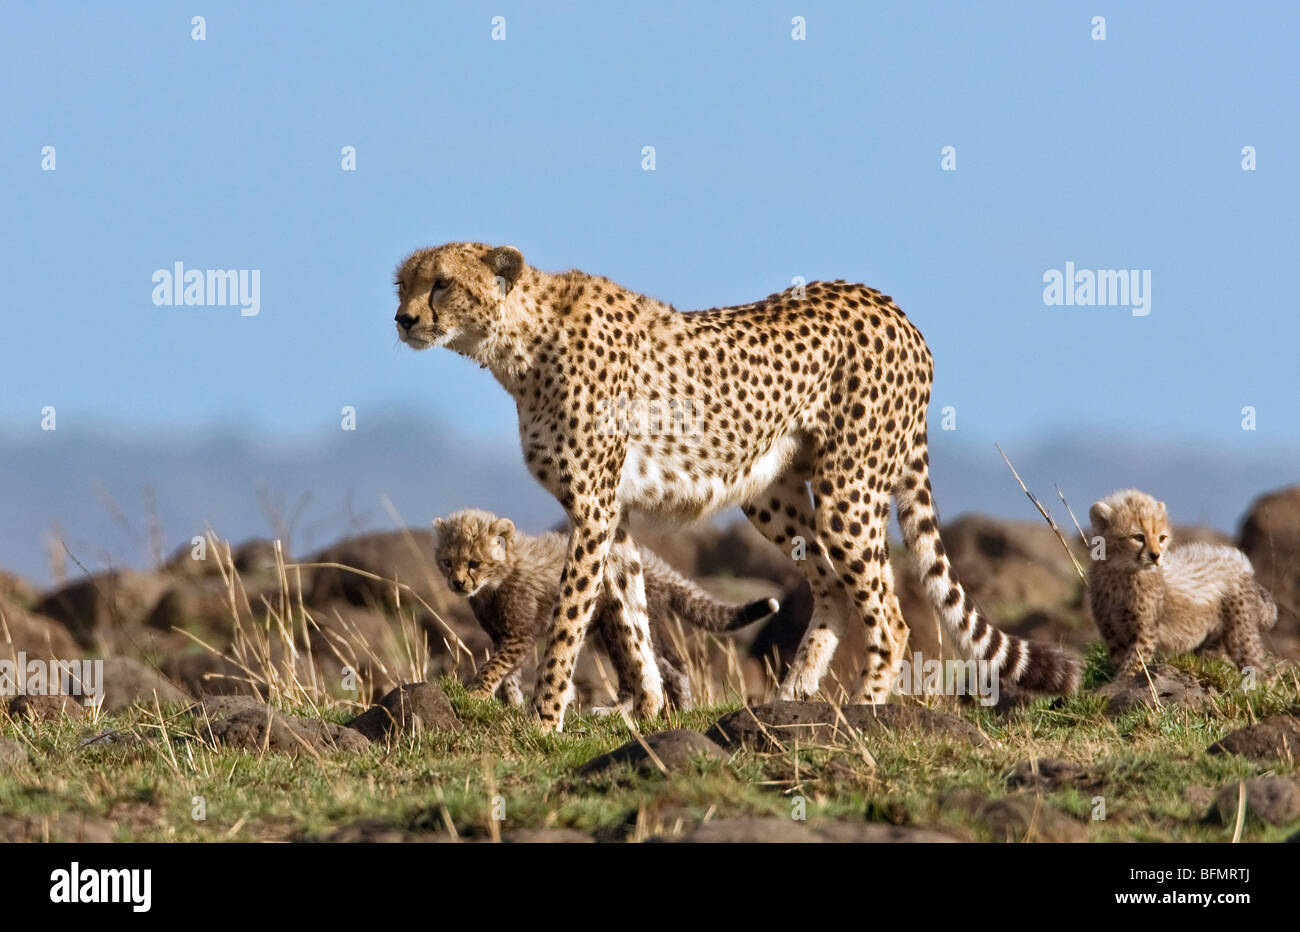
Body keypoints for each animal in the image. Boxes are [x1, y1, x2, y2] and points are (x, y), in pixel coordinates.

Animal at [392, 240, 1076, 727]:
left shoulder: (591, 505)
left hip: (848, 491)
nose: (402, 318)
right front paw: (646, 710)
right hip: (770, 495)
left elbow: (569, 617)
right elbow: (631, 615)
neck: (519, 341)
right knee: (831, 582)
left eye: (442, 283)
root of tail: (892, 307)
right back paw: (792, 696)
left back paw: (865, 708)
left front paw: (545, 719)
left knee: (889, 614)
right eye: (403, 283)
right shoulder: (613, 512)